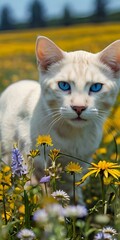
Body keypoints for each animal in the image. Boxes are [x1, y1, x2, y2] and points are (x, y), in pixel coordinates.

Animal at [0, 37, 119, 201]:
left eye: (96, 87)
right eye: (63, 85)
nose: (79, 107)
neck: (72, 134)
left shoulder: (79, 164)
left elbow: (71, 192)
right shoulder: (32, 159)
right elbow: (38, 187)